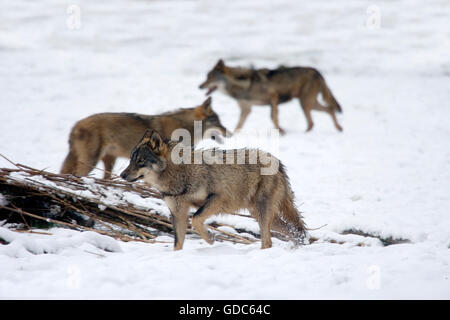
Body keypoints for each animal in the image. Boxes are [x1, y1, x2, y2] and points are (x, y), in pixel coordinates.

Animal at [121, 128, 308, 250]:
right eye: (131, 160)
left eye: (140, 161)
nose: (122, 175)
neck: (181, 173)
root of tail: (277, 162)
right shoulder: (178, 213)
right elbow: (178, 243)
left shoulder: (218, 198)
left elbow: (196, 219)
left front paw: (210, 239)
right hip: (262, 215)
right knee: (293, 232)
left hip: (262, 214)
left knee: (268, 241)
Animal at [199, 59, 342, 134]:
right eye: (206, 77)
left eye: (210, 78)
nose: (200, 86)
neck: (242, 85)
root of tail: (317, 71)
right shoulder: (246, 109)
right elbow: (238, 125)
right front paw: (234, 134)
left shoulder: (273, 97)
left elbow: (273, 117)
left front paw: (281, 131)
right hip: (308, 103)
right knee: (327, 111)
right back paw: (338, 129)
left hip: (305, 103)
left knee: (320, 116)